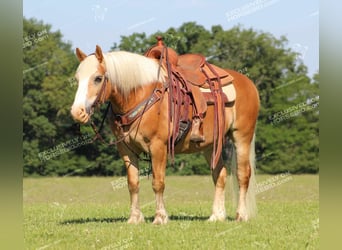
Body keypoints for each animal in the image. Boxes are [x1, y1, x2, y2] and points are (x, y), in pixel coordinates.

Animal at [71, 45, 260, 225]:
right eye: (77, 79)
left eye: (97, 78)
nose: (77, 112)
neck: (141, 95)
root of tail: (247, 82)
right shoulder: (126, 149)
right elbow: (133, 183)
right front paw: (134, 218)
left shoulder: (158, 147)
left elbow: (158, 183)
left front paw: (160, 217)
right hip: (210, 145)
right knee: (219, 175)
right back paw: (217, 216)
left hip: (242, 137)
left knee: (243, 175)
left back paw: (241, 215)